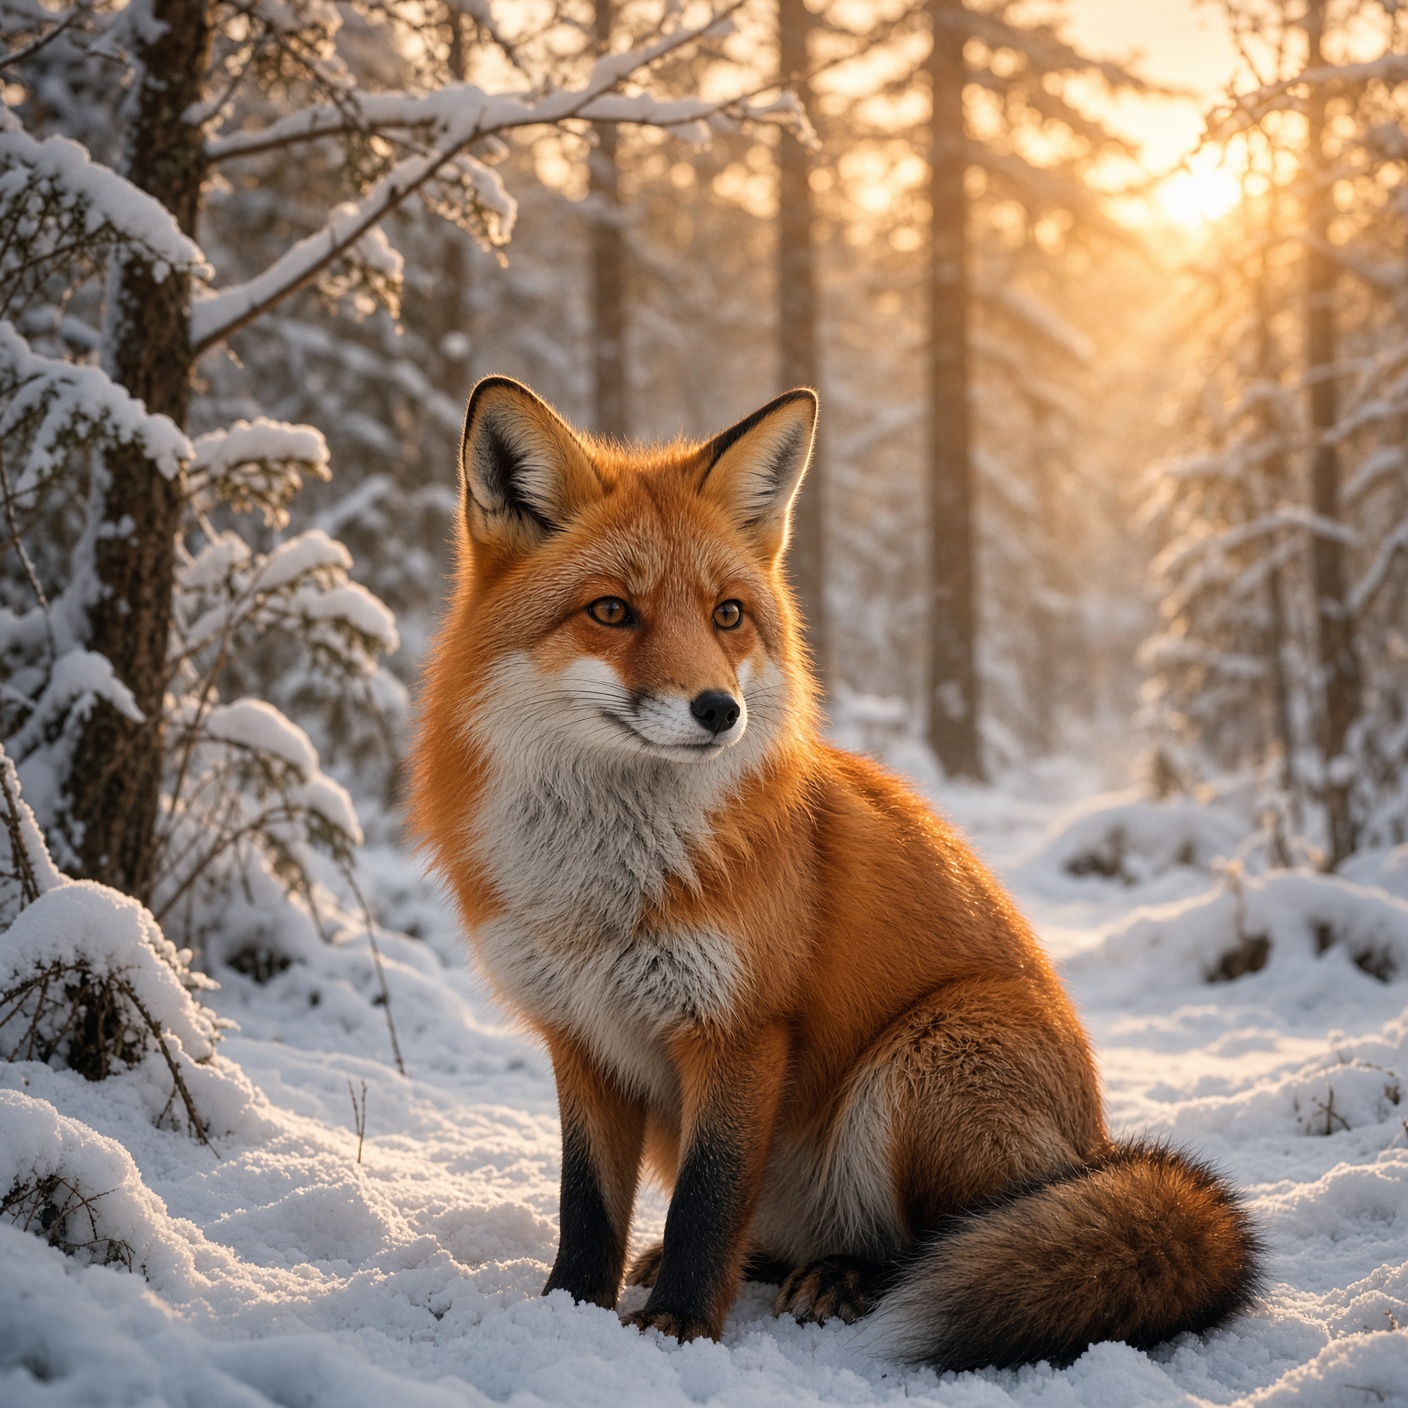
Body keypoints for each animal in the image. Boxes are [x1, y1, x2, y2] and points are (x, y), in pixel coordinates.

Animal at [410, 375, 1261, 1371]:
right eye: (611, 611)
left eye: (728, 615)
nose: (719, 710)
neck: (603, 889)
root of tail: (1090, 1149)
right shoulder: (580, 1038)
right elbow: (586, 1208)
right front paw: (568, 1309)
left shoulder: (743, 1028)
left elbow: (706, 1200)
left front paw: (680, 1326)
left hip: (926, 1060)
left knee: (949, 1242)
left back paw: (854, 1278)